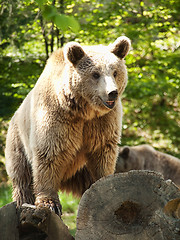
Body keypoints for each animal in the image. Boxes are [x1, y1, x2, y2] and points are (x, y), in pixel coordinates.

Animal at [4, 36, 131, 215]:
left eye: (115, 72)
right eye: (95, 74)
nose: (112, 92)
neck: (84, 111)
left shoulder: (102, 122)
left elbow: (103, 153)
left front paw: (105, 185)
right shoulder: (57, 116)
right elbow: (50, 154)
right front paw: (50, 203)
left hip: (80, 170)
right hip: (18, 143)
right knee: (22, 178)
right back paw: (23, 202)